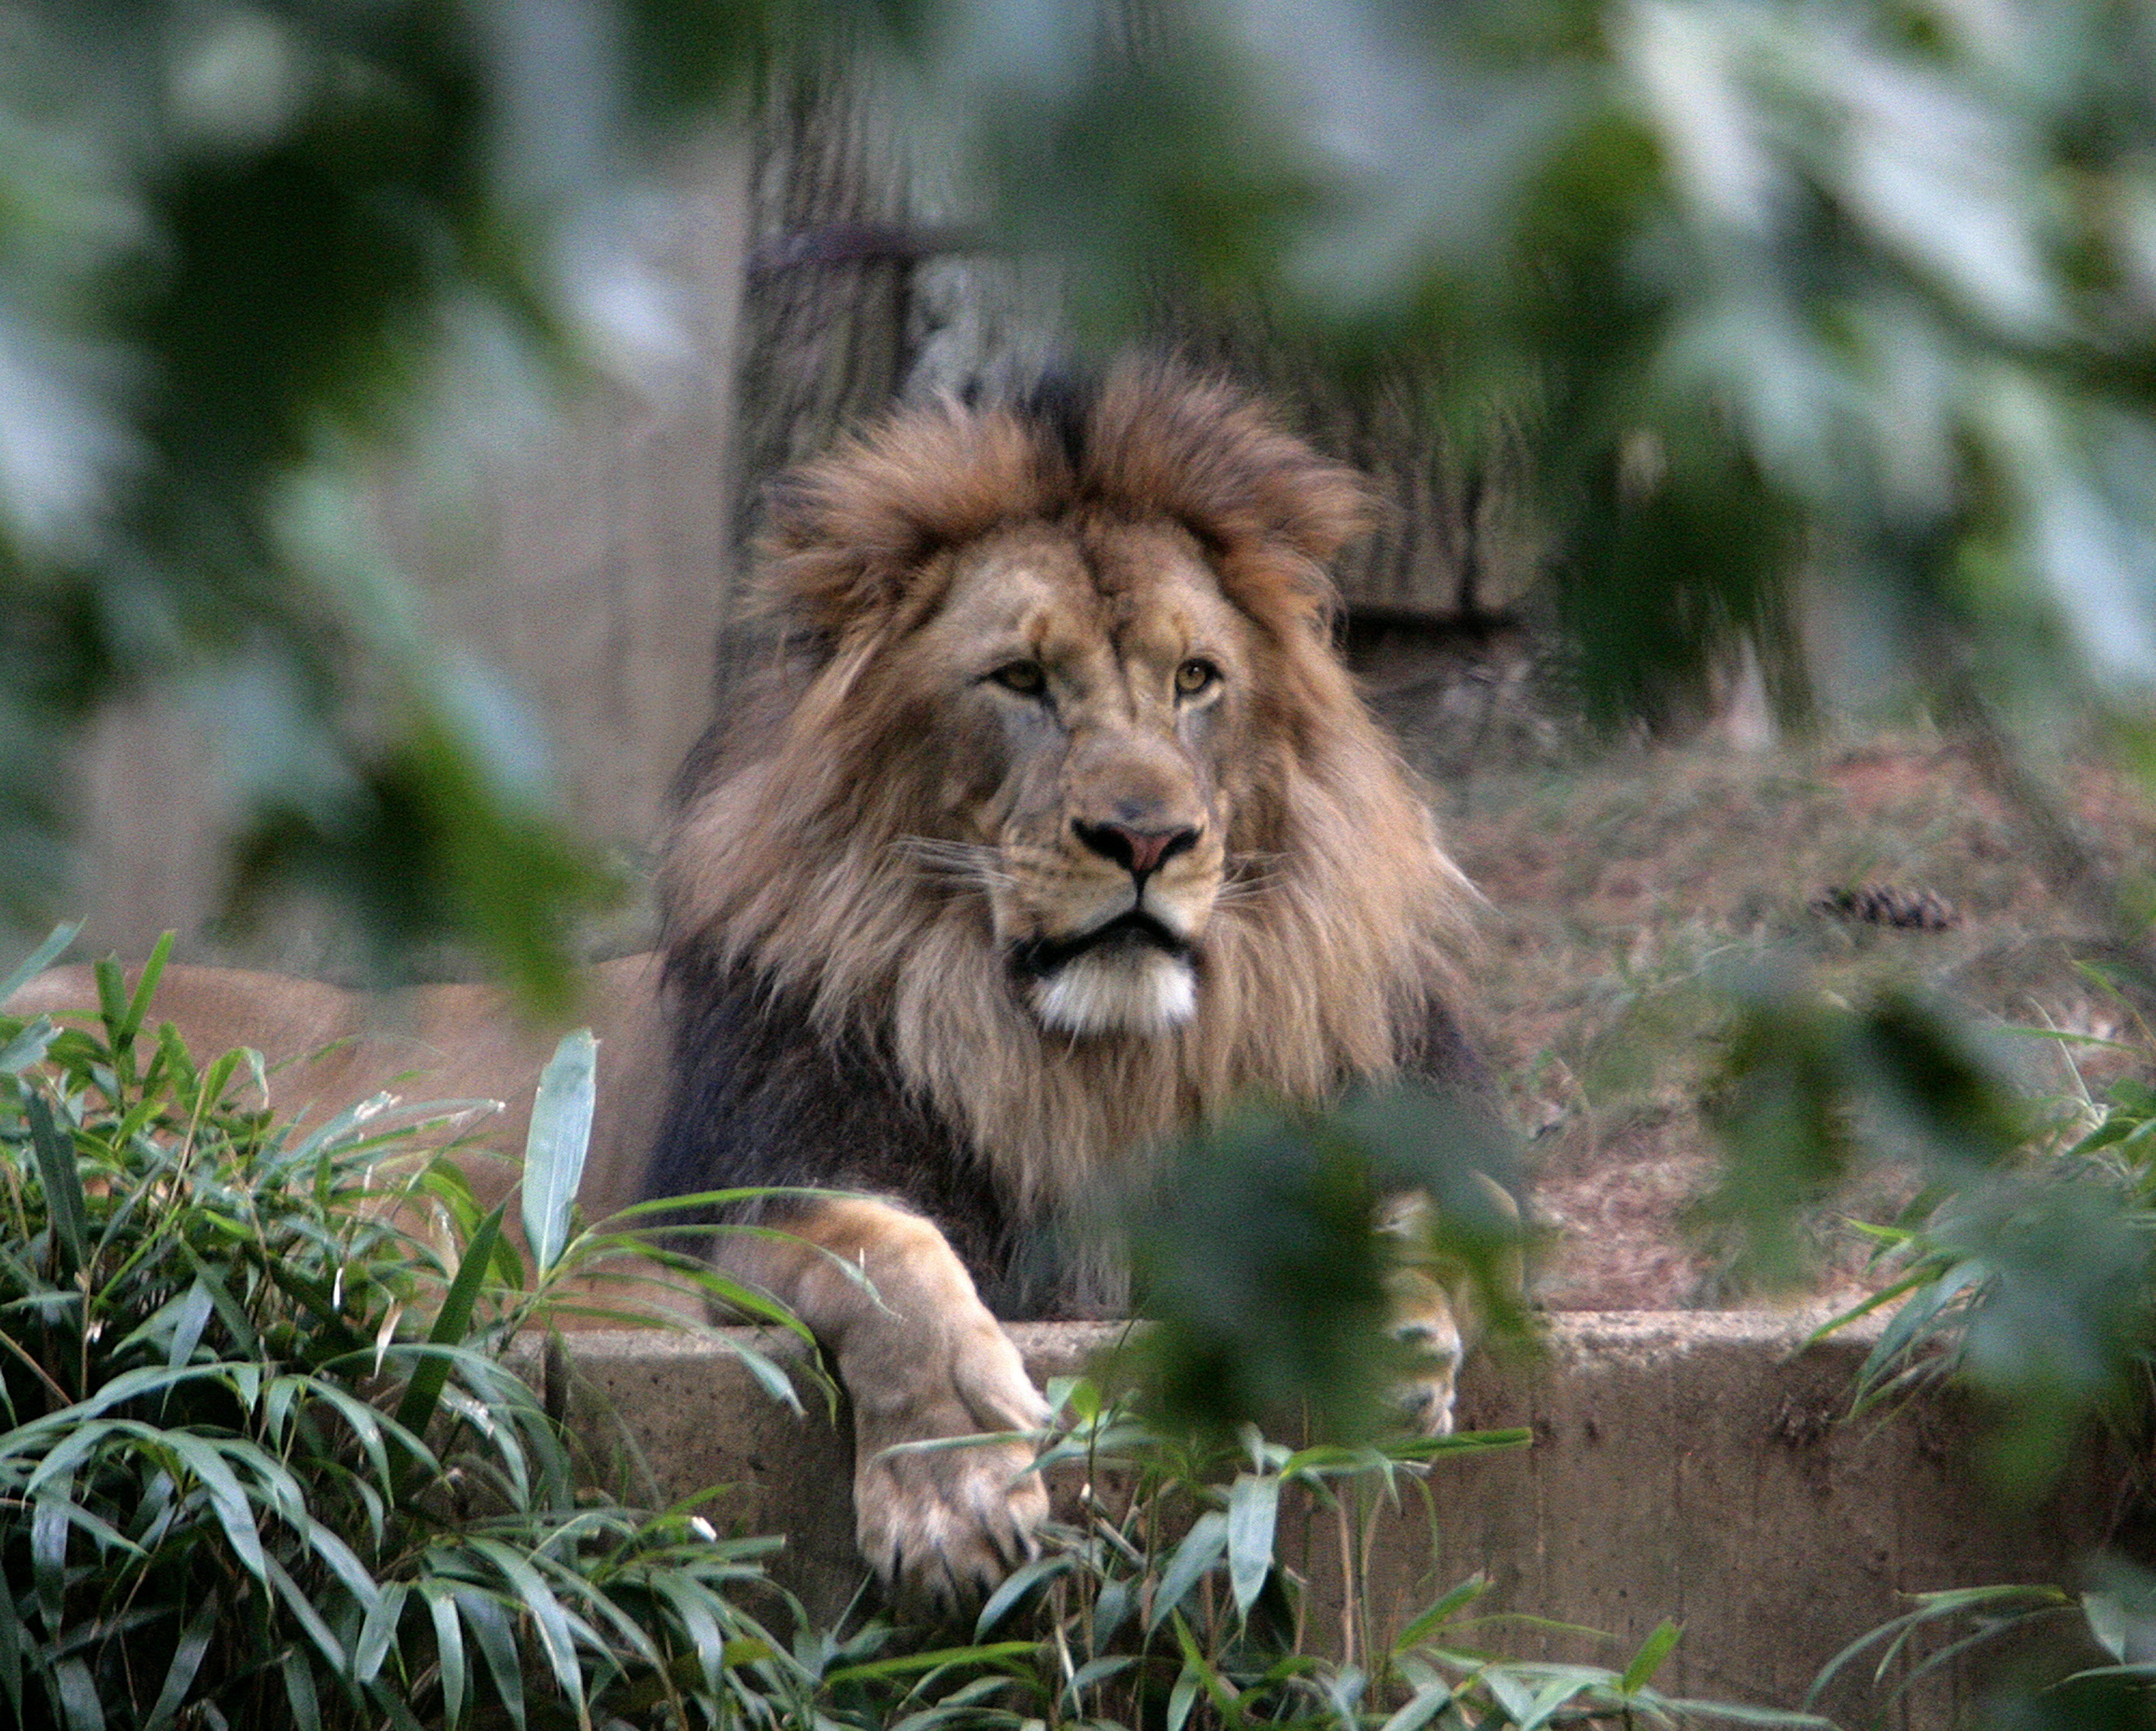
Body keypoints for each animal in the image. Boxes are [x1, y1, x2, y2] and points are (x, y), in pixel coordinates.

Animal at [648, 362, 1509, 1611]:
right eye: (1020, 678)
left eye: (1195, 679)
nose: (1146, 839)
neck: (1104, 1063)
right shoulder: (730, 1196)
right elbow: (882, 1253)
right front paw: (953, 1493)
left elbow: (1443, 1208)